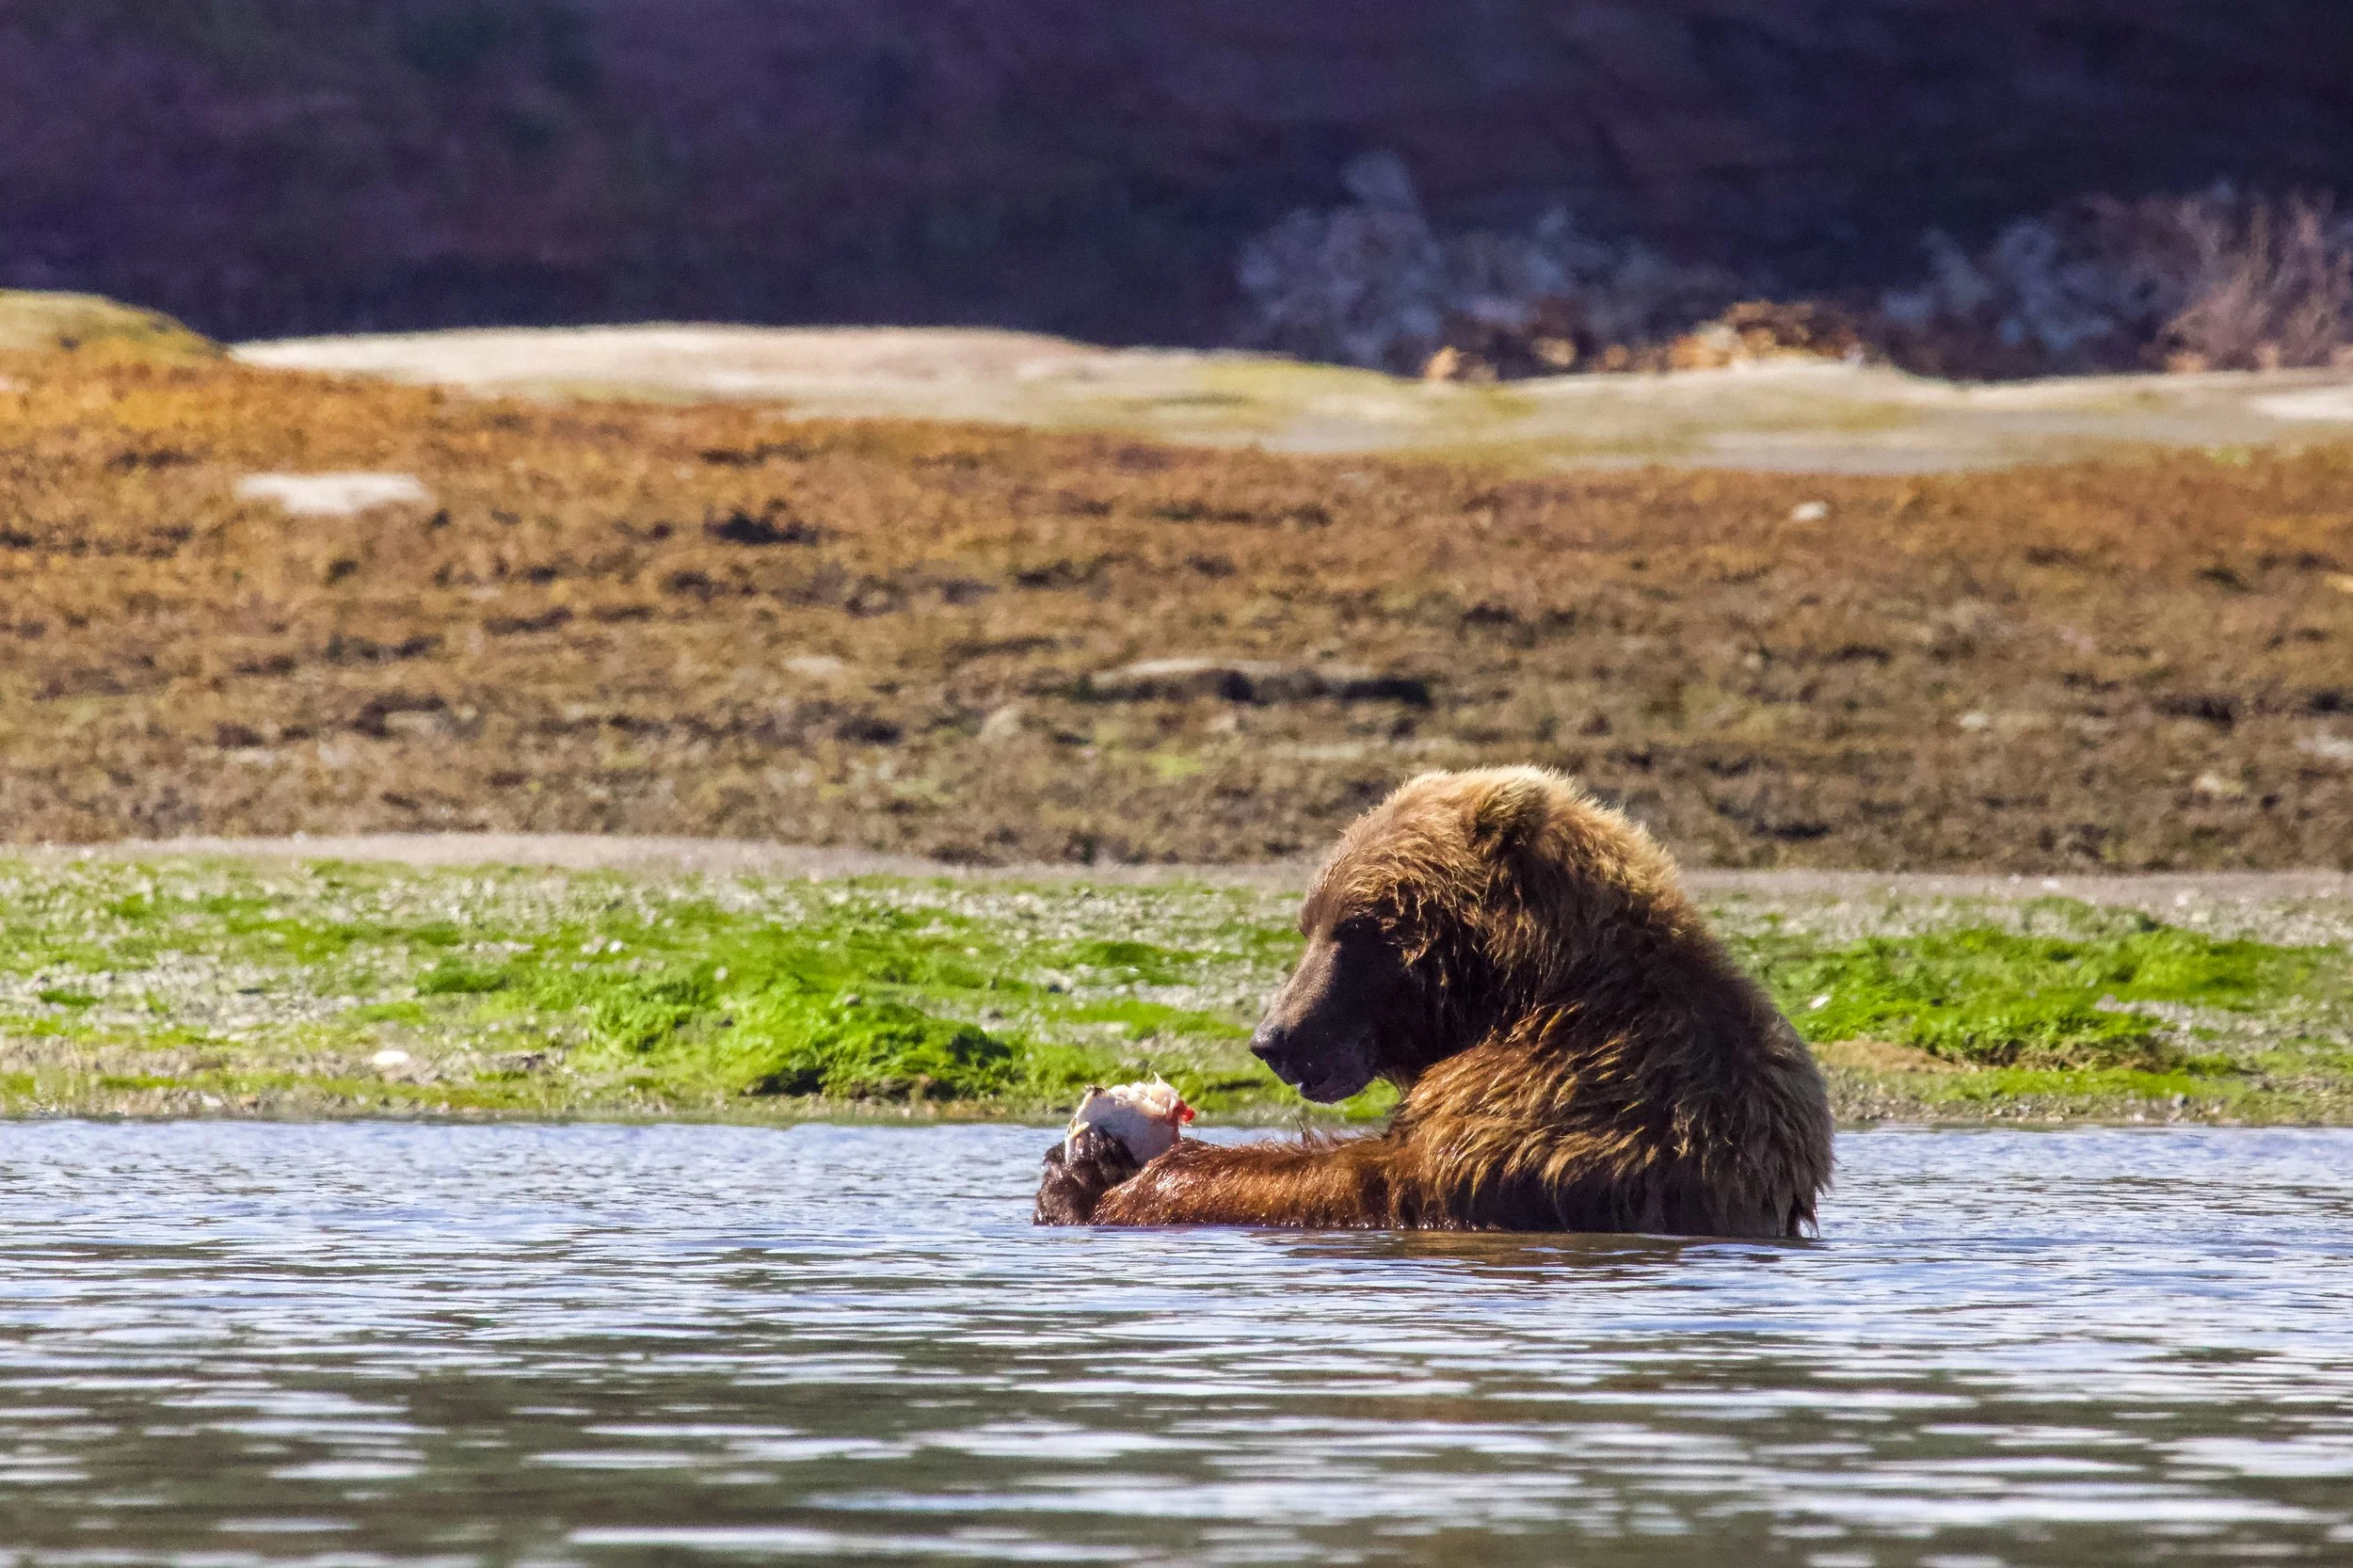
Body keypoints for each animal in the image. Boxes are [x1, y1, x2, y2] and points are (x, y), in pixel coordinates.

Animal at [1035, 766, 1833, 1235]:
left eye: (1356, 927)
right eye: (1311, 921)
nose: (1274, 1038)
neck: (1521, 995)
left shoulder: (1557, 1098)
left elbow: (1373, 1181)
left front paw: (1096, 1175)